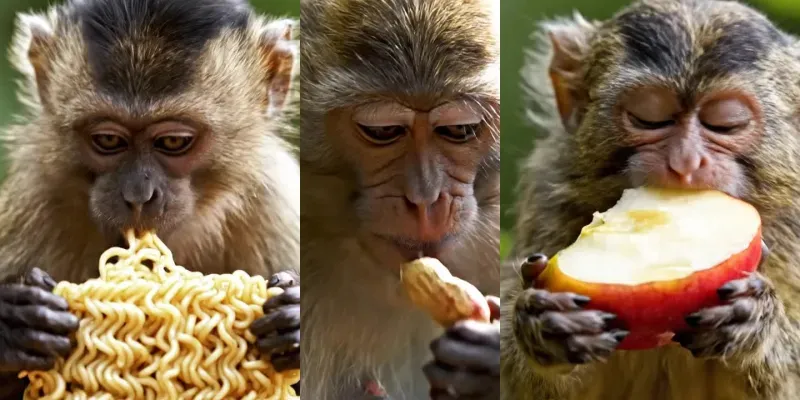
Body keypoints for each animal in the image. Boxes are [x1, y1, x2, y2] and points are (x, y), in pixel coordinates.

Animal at [0, 0, 300, 398]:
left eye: (173, 142)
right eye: (108, 140)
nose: (138, 195)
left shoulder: (278, 205)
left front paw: (294, 321)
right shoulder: (35, 198)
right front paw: (15, 323)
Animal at [499, 0, 800, 399]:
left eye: (725, 125)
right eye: (649, 119)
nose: (685, 162)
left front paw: (756, 319)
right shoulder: (547, 188)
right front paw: (542, 323)